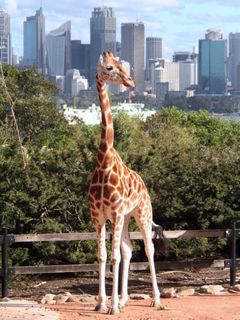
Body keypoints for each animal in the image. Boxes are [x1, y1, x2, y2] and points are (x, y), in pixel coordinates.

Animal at [88, 50, 161, 316]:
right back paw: (124, 298)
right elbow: (102, 256)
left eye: (121, 64)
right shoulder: (98, 216)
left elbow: (114, 257)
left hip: (142, 213)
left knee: (148, 248)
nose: (130, 81)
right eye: (110, 67)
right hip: (128, 216)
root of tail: (144, 185)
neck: (104, 162)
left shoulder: (117, 213)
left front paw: (113, 307)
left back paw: (156, 299)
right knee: (128, 249)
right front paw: (102, 302)